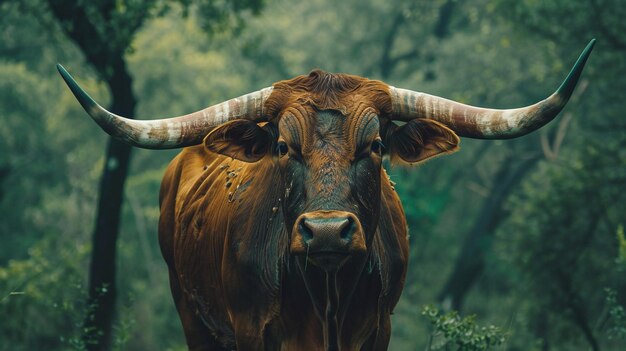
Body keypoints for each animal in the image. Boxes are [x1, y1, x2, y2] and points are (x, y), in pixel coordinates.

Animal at [56, 40, 592, 350]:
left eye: (376, 145)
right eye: (282, 146)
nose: (329, 231)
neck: (325, 300)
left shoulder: (378, 328)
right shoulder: (249, 329)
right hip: (192, 317)